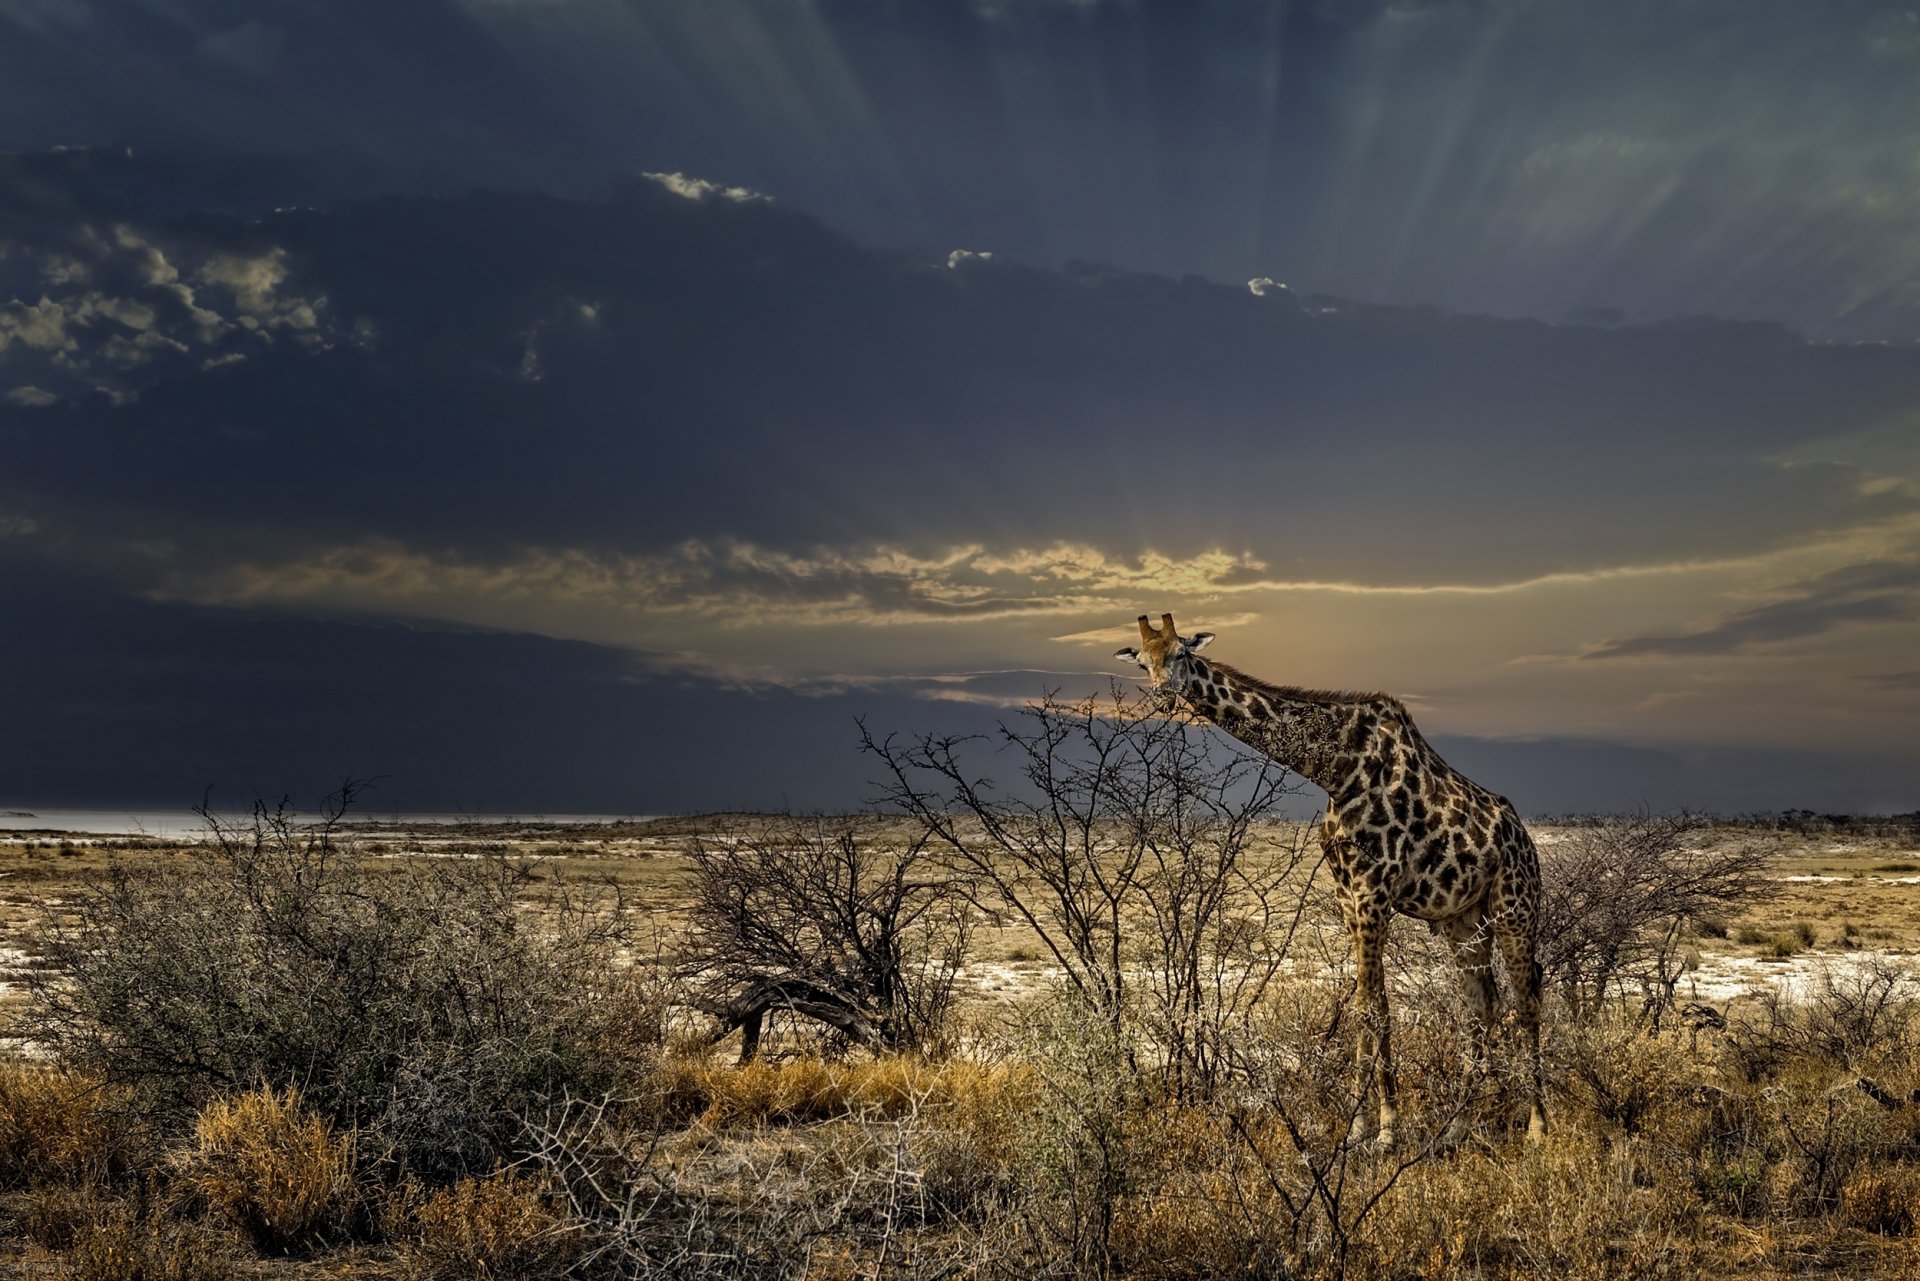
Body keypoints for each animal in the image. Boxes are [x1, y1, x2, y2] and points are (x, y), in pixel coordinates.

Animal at [1113, 614, 1543, 1144]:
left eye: (1181, 654)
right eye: (1144, 662)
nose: (1163, 696)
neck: (1336, 769)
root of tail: (1525, 840)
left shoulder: (1375, 889)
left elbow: (1369, 1006)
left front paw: (1384, 1128)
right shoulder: (1348, 895)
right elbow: (1372, 1002)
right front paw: (1364, 1125)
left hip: (1515, 906)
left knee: (1527, 998)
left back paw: (1538, 1126)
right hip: (1464, 920)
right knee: (1482, 1005)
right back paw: (1456, 1128)